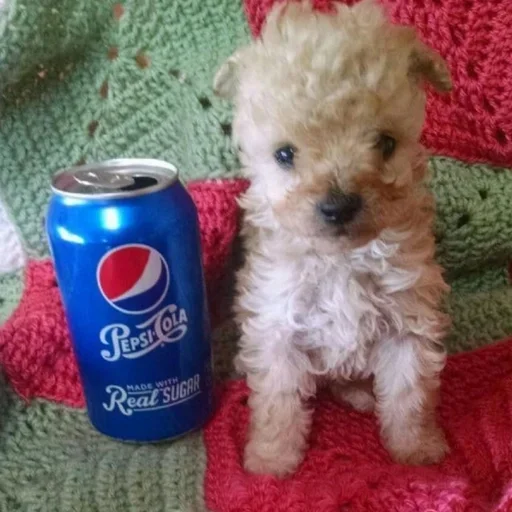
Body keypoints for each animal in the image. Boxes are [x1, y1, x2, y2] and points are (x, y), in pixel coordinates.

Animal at [214, 0, 452, 477]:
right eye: (284, 154)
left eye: (386, 143)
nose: (339, 206)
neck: (342, 259)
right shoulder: (277, 323)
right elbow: (277, 401)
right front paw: (271, 460)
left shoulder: (408, 321)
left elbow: (410, 395)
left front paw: (417, 450)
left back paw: (359, 393)